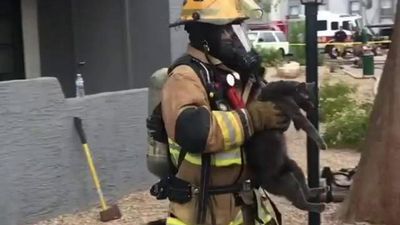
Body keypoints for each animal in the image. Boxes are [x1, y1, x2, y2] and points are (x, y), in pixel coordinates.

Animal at [247, 81, 328, 213]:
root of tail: (259, 182)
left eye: (315, 98)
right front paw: (322, 143)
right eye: (308, 98)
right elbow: (308, 125)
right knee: (298, 203)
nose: (313, 107)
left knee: (302, 185)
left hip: (292, 166)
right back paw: (318, 206)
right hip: (287, 181)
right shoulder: (293, 110)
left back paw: (315, 191)